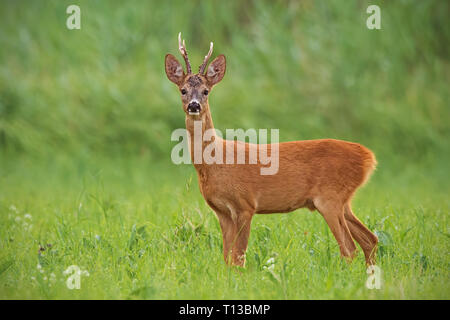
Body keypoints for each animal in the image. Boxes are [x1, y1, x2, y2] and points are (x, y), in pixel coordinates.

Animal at [163, 33, 378, 268]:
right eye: (183, 90)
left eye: (206, 91)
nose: (194, 105)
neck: (215, 162)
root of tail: (369, 158)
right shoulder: (222, 212)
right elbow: (227, 258)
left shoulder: (245, 205)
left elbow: (238, 258)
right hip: (343, 202)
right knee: (370, 239)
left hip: (330, 198)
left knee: (349, 248)